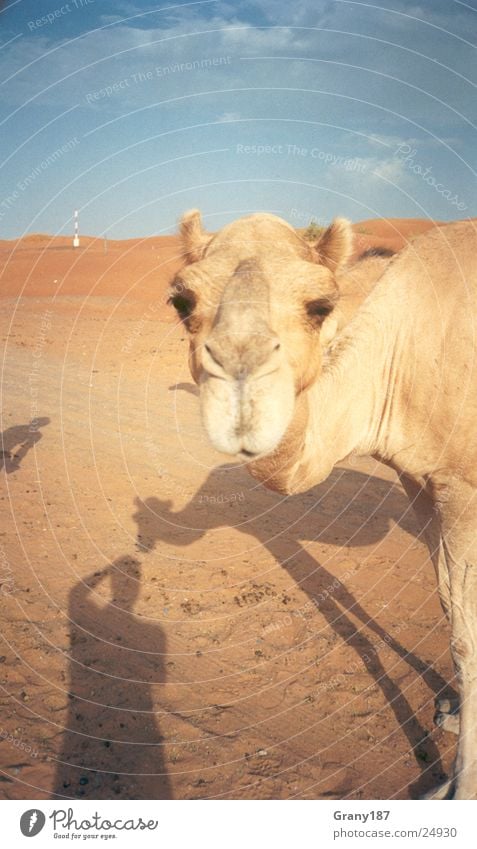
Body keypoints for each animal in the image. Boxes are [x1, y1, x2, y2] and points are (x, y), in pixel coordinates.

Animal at [169, 209, 474, 800]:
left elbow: (467, 635)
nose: (242, 376)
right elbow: (450, 605)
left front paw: (462, 788)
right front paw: (446, 728)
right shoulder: (419, 480)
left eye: (319, 306)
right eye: (182, 302)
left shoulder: (464, 485)